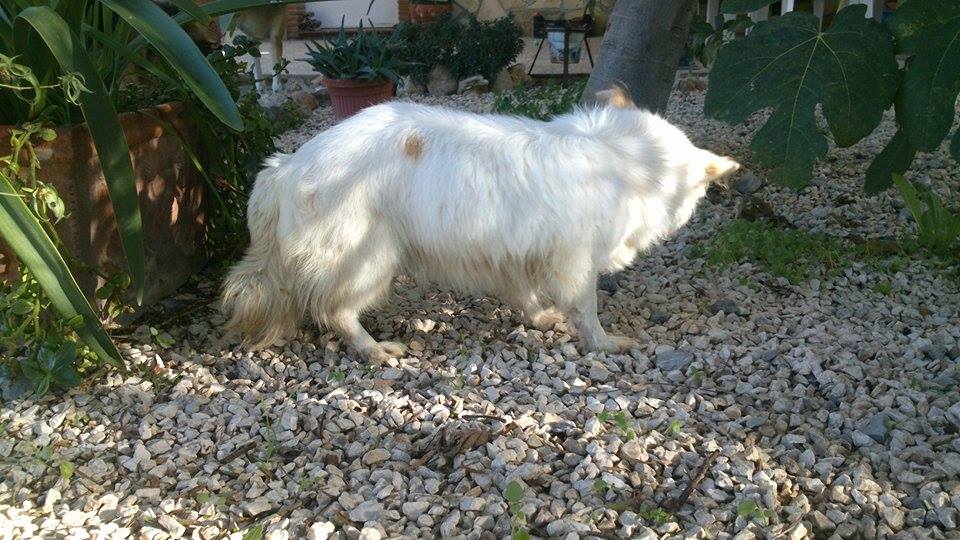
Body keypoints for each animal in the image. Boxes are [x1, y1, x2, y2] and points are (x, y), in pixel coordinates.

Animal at [221, 86, 740, 360]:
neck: (622, 158)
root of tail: (287, 167)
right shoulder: (573, 262)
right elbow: (586, 310)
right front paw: (606, 344)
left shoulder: (514, 254)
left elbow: (525, 296)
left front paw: (539, 319)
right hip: (368, 260)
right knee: (336, 311)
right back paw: (375, 349)